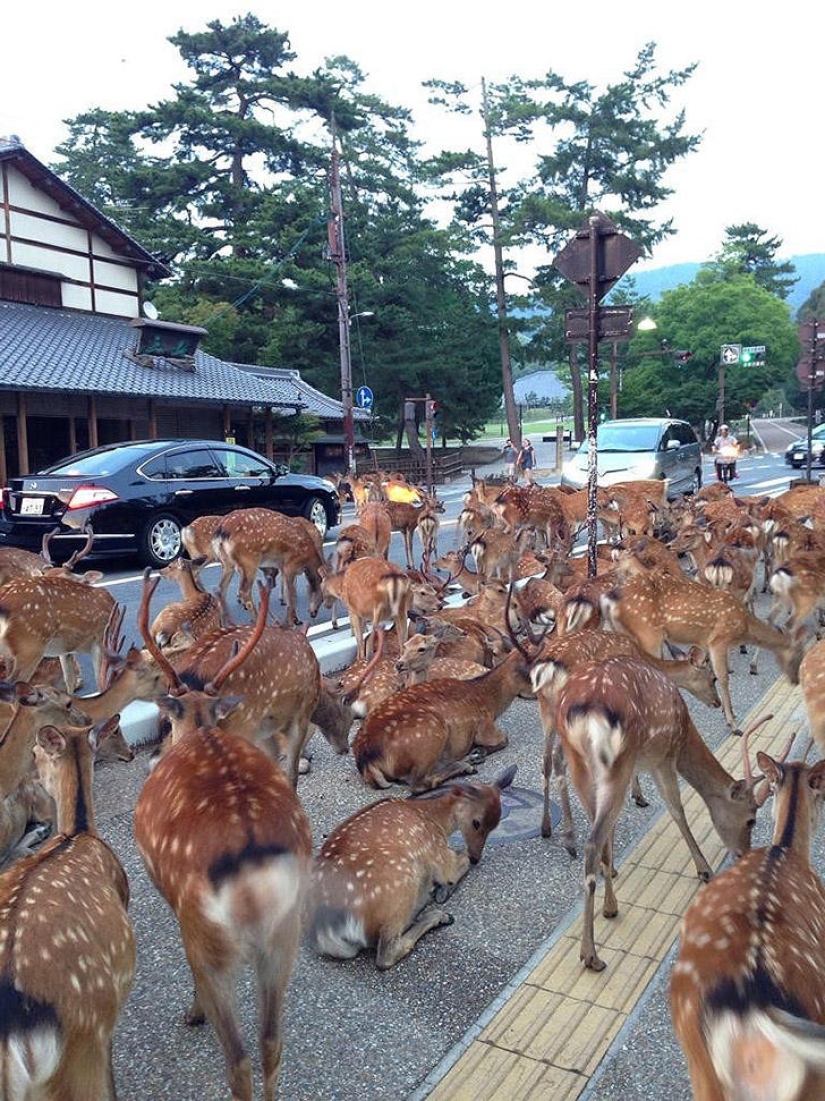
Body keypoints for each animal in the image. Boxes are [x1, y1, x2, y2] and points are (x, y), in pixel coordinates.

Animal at [133, 637, 312, 1101]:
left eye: (167, 720)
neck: (201, 727)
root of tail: (253, 883)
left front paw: (191, 1012)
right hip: (285, 938)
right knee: (271, 1042)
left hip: (206, 942)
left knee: (239, 1059)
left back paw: (198, 1016)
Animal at [309, 765, 517, 969]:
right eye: (476, 822)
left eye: (495, 825)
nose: (476, 857)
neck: (435, 820)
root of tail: (326, 927)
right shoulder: (436, 849)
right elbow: (456, 865)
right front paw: (445, 888)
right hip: (401, 882)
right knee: (386, 954)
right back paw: (438, 915)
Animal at [352, 647, 533, 792]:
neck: (490, 701)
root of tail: (366, 761)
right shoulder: (484, 726)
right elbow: (504, 739)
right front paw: (477, 752)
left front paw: (476, 753)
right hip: (431, 732)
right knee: (418, 783)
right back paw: (464, 766)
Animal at [551, 656, 767, 971]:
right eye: (751, 818)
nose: (743, 853)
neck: (685, 730)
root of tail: (584, 709)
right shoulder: (664, 756)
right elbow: (676, 809)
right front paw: (704, 869)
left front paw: (610, 881)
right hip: (619, 761)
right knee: (593, 841)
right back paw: (591, 955)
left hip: (582, 765)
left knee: (596, 831)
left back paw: (605, 906)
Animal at [601, 570, 805, 732]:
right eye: (798, 655)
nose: (796, 681)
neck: (744, 627)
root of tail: (608, 600)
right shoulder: (718, 640)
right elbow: (724, 677)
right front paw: (732, 723)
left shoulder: (706, 643)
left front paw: (728, 713)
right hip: (648, 634)